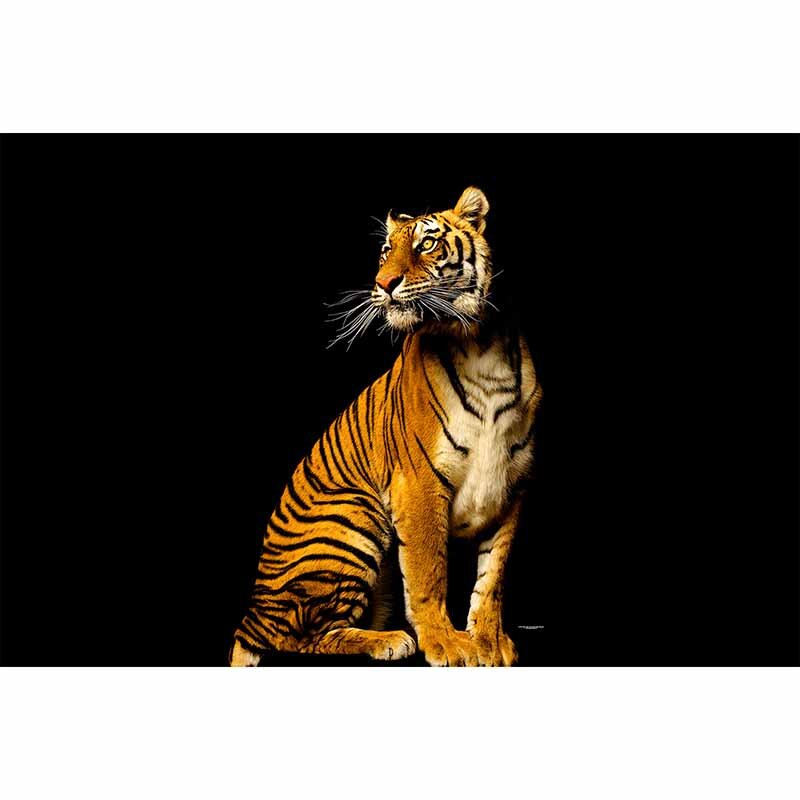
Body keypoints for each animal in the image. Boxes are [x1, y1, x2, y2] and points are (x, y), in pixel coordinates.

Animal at [230, 186, 541, 666]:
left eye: (427, 244)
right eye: (384, 251)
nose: (383, 283)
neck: (479, 343)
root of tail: (255, 608)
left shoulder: (511, 486)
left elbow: (493, 577)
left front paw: (489, 642)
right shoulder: (419, 483)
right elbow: (429, 572)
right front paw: (447, 644)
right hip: (355, 515)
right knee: (296, 636)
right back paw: (388, 640)